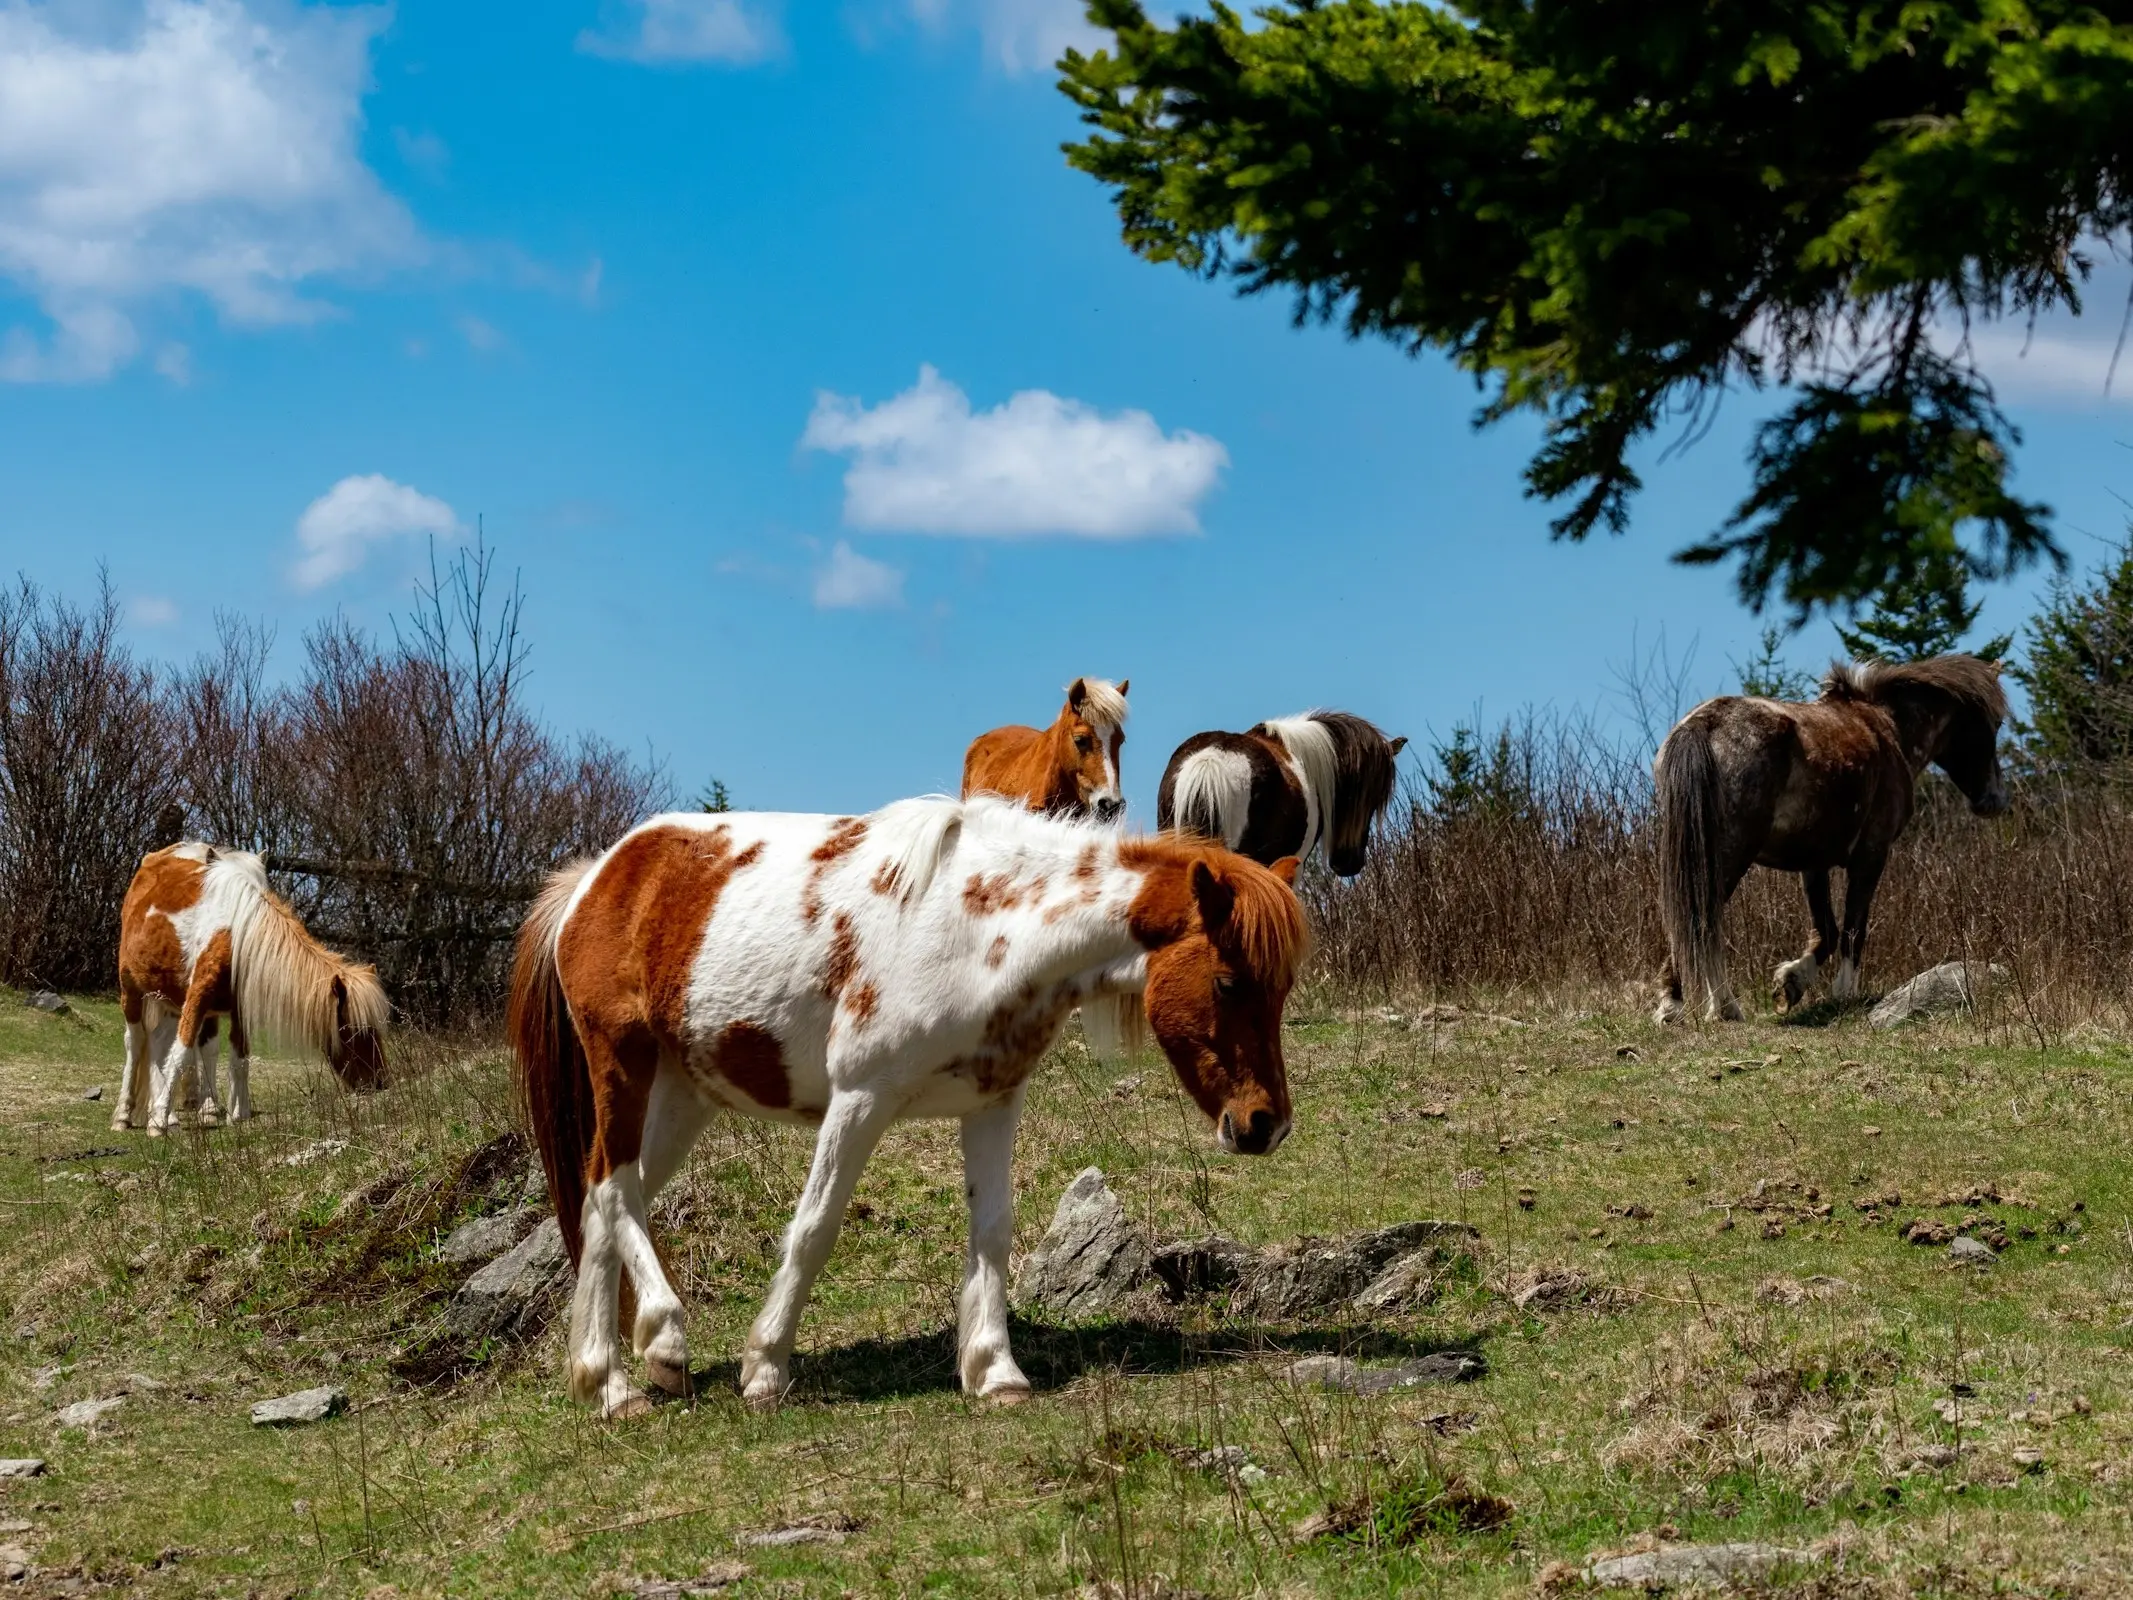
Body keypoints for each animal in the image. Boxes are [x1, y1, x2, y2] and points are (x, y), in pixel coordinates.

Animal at [112, 844, 390, 1134]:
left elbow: (240, 1058)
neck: (236, 936)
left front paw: (238, 1115)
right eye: (352, 1031)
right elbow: (181, 1054)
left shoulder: (238, 1007)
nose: (380, 1081)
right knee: (136, 1042)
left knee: (158, 1041)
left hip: (171, 999)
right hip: (132, 990)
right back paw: (125, 1115)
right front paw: (158, 1122)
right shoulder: (198, 998)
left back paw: (172, 1118)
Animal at [509, 797, 1296, 1416]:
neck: (987, 931)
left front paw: (995, 1371)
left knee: (602, 1202)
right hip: (623, 1066)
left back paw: (608, 1383)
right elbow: (815, 1228)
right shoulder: (861, 1098)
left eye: (1281, 987)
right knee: (614, 1188)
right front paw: (765, 1368)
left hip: (682, 1095)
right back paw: (663, 1344)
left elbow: (993, 1231)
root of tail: (596, 876)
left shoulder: (992, 1104)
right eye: (1228, 981)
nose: (1266, 1124)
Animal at [1646, 652, 2013, 1019]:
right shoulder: (1872, 854)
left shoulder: (1814, 862)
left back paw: (1676, 1004)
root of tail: (1702, 726)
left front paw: (1791, 982)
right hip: (1727, 855)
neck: (1885, 727)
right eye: (1994, 724)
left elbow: (1827, 931)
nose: (1994, 800)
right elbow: (1853, 928)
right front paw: (1844, 991)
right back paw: (1722, 1006)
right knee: (1700, 922)